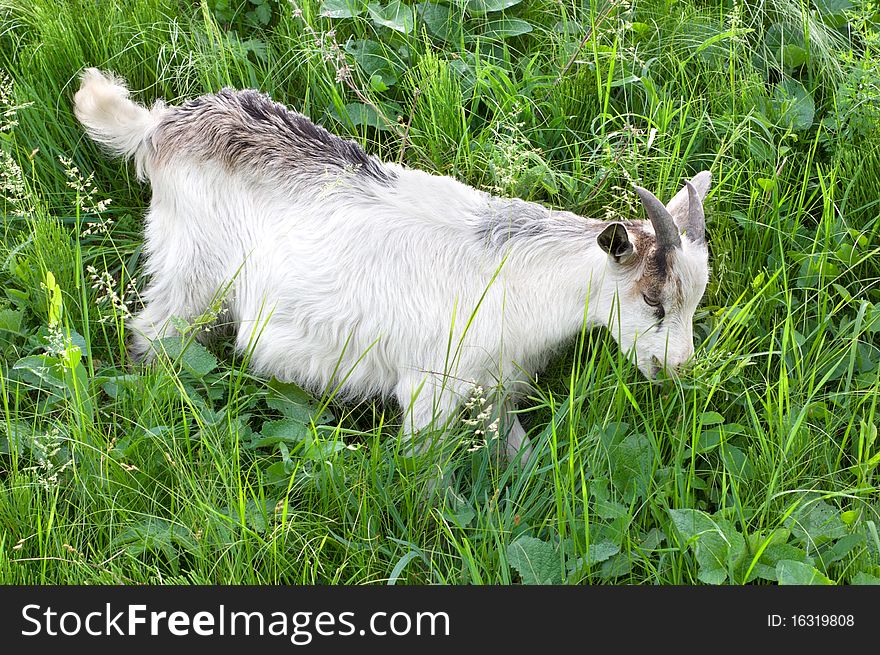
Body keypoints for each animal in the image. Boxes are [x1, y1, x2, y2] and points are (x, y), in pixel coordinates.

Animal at [72, 69, 712, 464]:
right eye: (652, 299)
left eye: (695, 301)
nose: (677, 369)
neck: (517, 276)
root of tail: (161, 127)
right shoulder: (430, 390)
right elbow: (425, 477)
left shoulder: (495, 390)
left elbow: (521, 458)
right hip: (193, 278)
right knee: (152, 334)